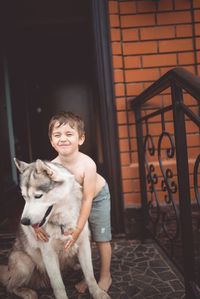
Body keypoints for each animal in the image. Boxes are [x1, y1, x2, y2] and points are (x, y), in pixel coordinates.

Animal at [0, 159, 111, 299]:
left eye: (38, 196)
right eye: (24, 197)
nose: (24, 222)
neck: (63, 221)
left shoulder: (84, 244)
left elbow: (90, 275)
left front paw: (97, 292)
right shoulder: (49, 254)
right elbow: (58, 285)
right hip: (24, 262)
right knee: (10, 286)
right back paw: (26, 292)